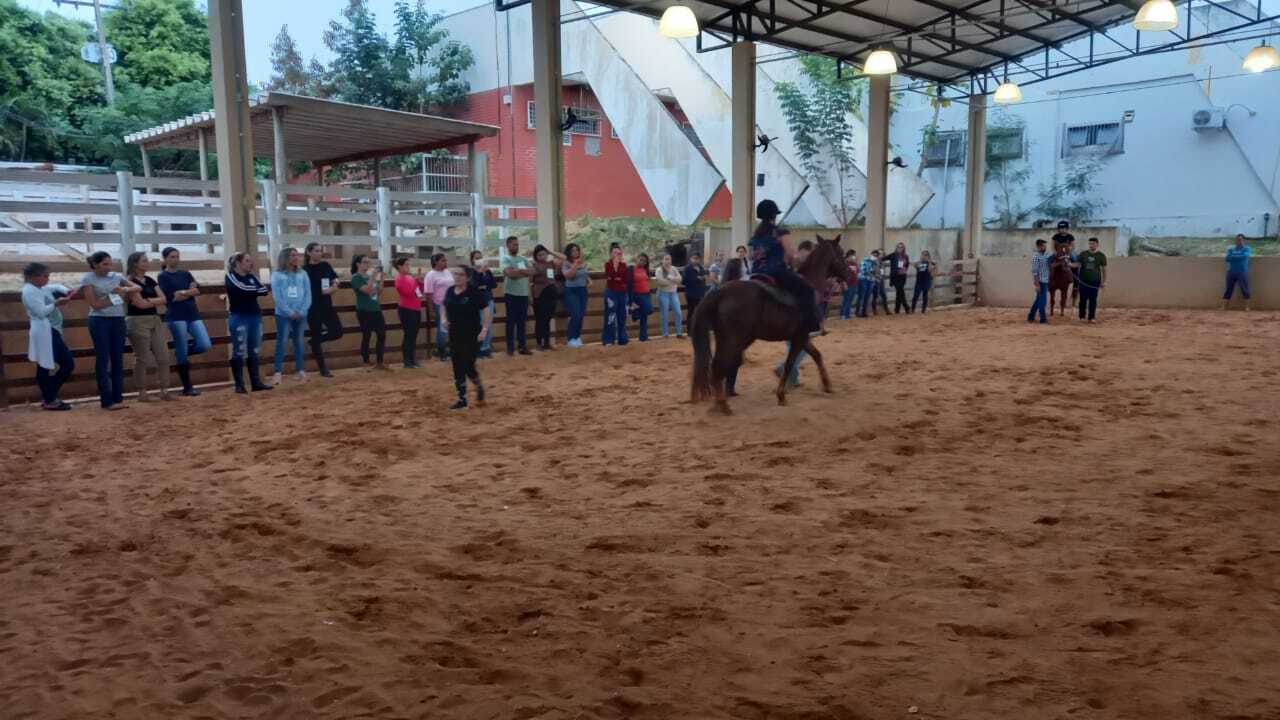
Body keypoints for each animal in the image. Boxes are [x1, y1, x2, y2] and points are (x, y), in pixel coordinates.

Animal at [691, 234, 849, 412]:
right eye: (841, 253)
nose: (849, 274)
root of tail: (719, 292)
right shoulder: (800, 337)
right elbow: (789, 364)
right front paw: (781, 395)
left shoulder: (801, 337)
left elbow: (816, 355)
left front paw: (827, 385)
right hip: (733, 340)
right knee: (719, 367)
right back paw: (723, 405)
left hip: (727, 339)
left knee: (720, 366)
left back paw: (720, 402)